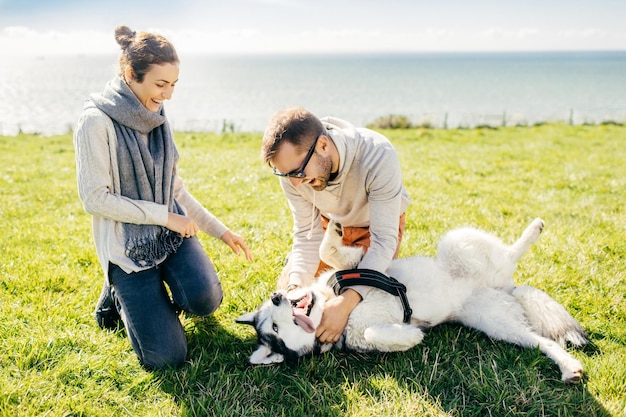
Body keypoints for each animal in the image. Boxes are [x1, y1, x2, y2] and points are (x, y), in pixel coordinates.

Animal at [236, 218, 588, 384]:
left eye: (273, 317)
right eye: (275, 328)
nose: (277, 295)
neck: (333, 308)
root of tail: (503, 286)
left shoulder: (356, 264)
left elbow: (329, 250)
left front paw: (334, 232)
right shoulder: (363, 334)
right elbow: (374, 332)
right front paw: (411, 336)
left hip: (455, 243)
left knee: (509, 253)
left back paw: (535, 228)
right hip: (498, 325)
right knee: (542, 341)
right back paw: (569, 368)